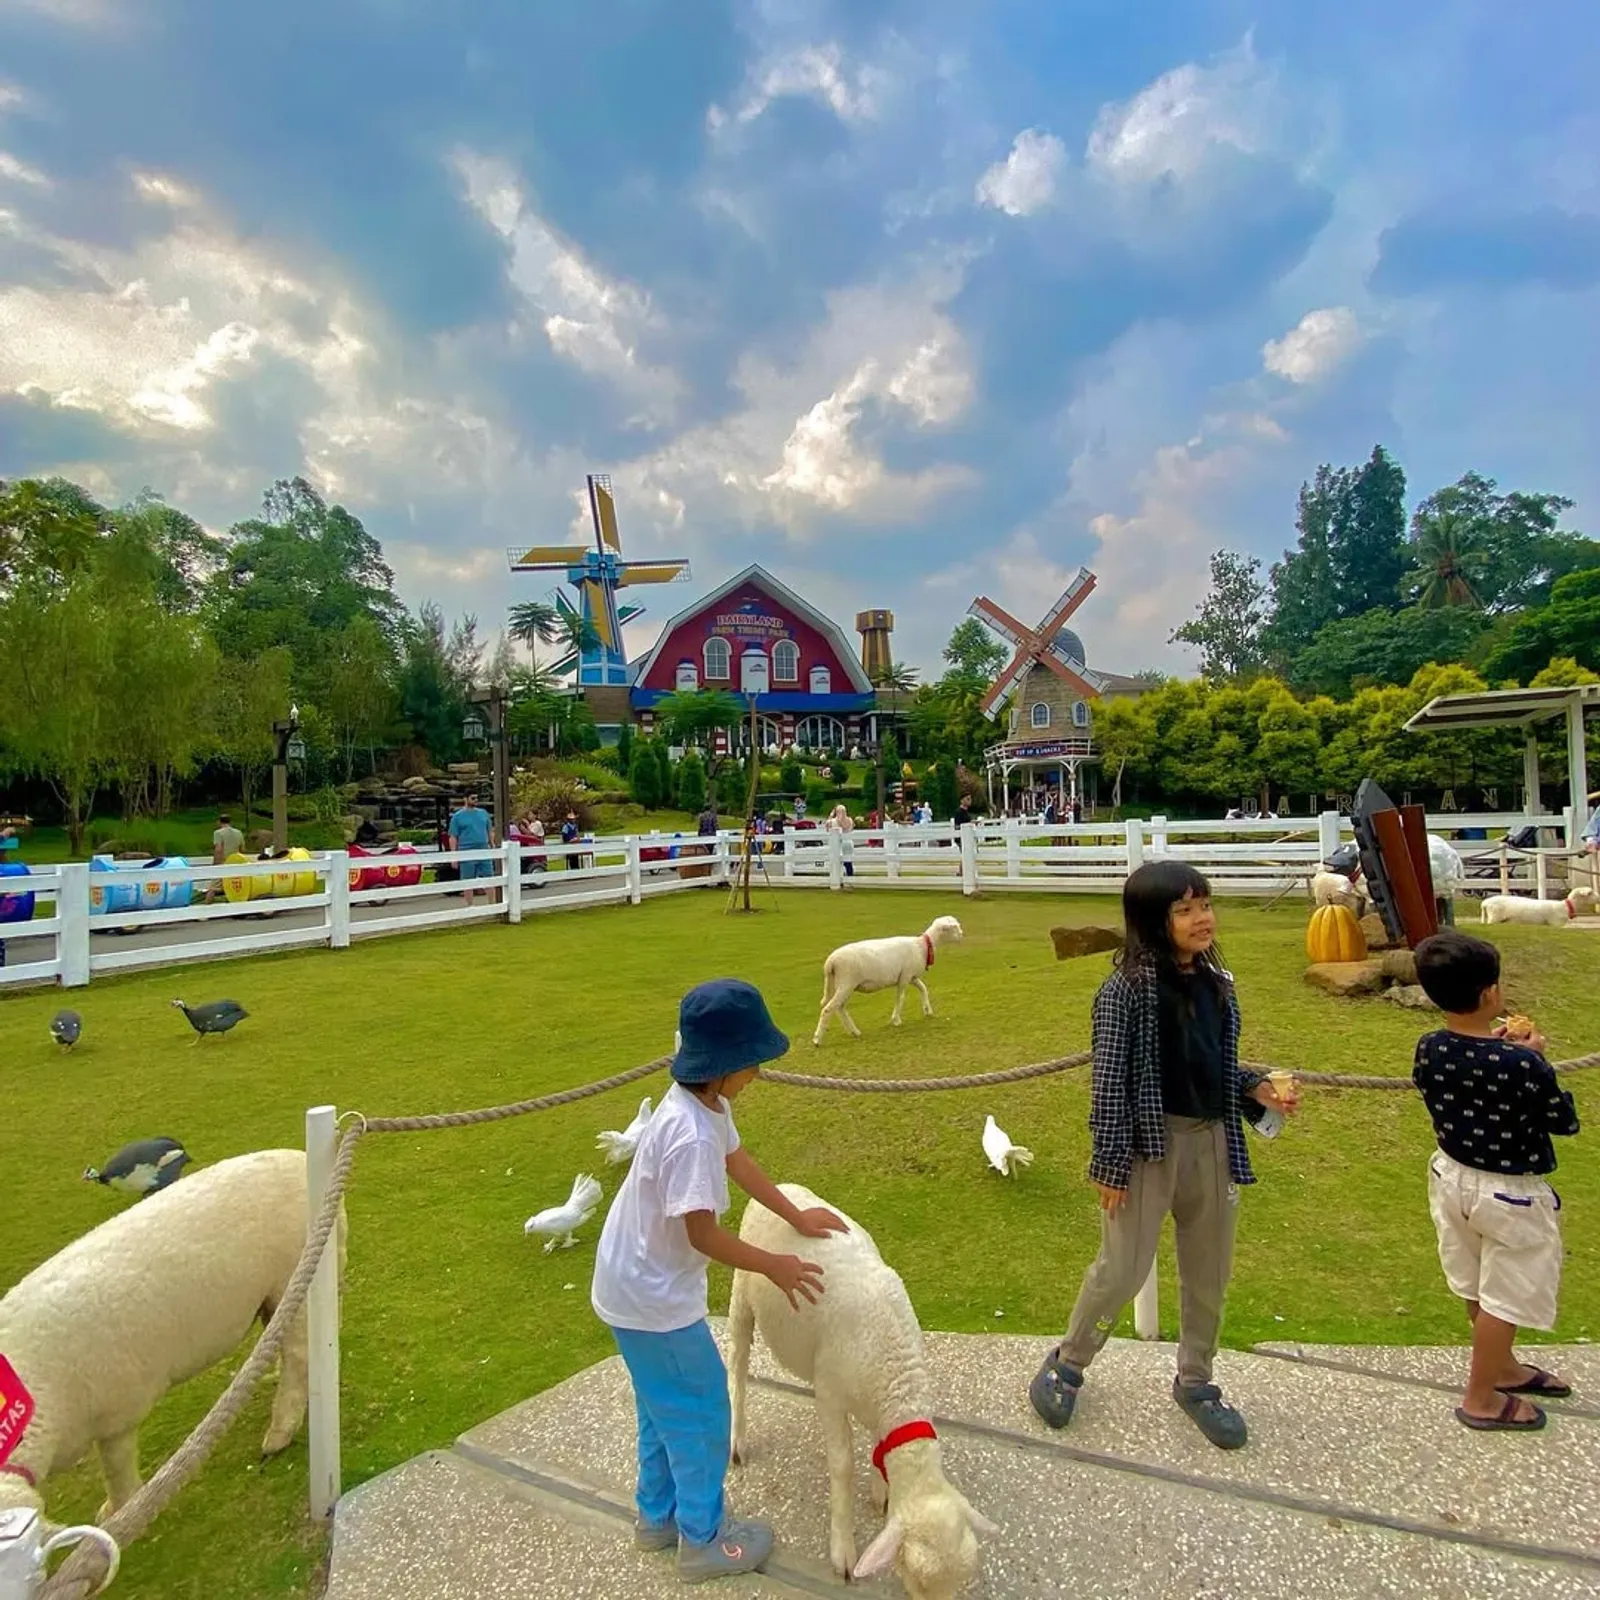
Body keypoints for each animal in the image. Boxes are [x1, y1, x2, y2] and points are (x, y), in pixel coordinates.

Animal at [0, 1145, 347, 1516]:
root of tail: (296, 1157)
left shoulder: (118, 1414)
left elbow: (117, 1470)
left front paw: (117, 1510)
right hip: (279, 1294)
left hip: (294, 1275)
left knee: (298, 1354)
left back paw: (279, 1434)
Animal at [729, 1184, 998, 1593]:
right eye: (917, 1580)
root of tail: (784, 1186)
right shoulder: (830, 1394)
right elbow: (842, 1466)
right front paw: (843, 1551)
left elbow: (877, 1446)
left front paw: (880, 1489)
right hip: (743, 1290)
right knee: (737, 1363)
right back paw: (737, 1440)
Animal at [812, 915, 960, 1049]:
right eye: (954, 927)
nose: (962, 934)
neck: (922, 946)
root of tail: (830, 962)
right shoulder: (905, 977)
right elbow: (901, 997)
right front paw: (896, 1020)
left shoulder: (911, 976)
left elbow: (923, 988)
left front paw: (927, 1010)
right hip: (846, 982)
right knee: (829, 1009)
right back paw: (817, 1040)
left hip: (844, 984)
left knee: (840, 1007)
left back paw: (855, 1032)